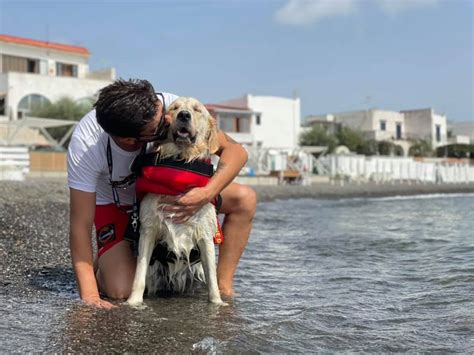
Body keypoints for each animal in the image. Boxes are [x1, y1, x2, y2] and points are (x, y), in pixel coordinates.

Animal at [124, 96, 224, 306]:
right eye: (175, 108)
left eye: (197, 110)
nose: (184, 115)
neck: (180, 161)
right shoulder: (148, 230)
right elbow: (139, 274)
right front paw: (133, 303)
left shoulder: (205, 235)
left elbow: (213, 279)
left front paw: (218, 304)